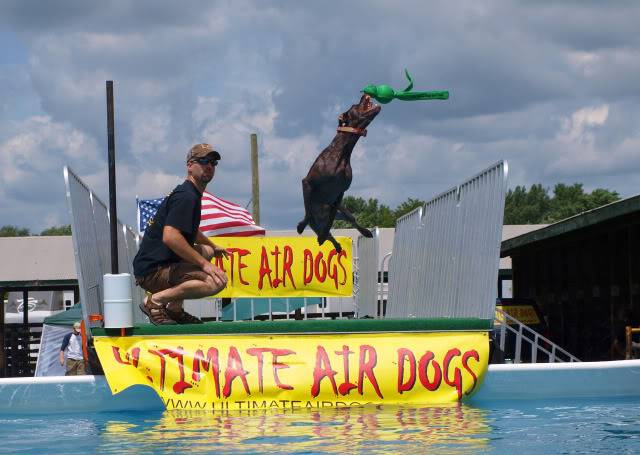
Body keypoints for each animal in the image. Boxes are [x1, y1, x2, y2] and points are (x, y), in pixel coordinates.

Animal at [298, 93, 382, 253]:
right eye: (355, 105)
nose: (363, 94)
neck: (342, 153)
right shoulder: (307, 182)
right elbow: (308, 212)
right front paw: (301, 225)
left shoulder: (340, 194)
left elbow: (331, 220)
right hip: (317, 223)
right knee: (325, 231)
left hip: (342, 212)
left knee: (347, 222)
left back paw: (361, 234)